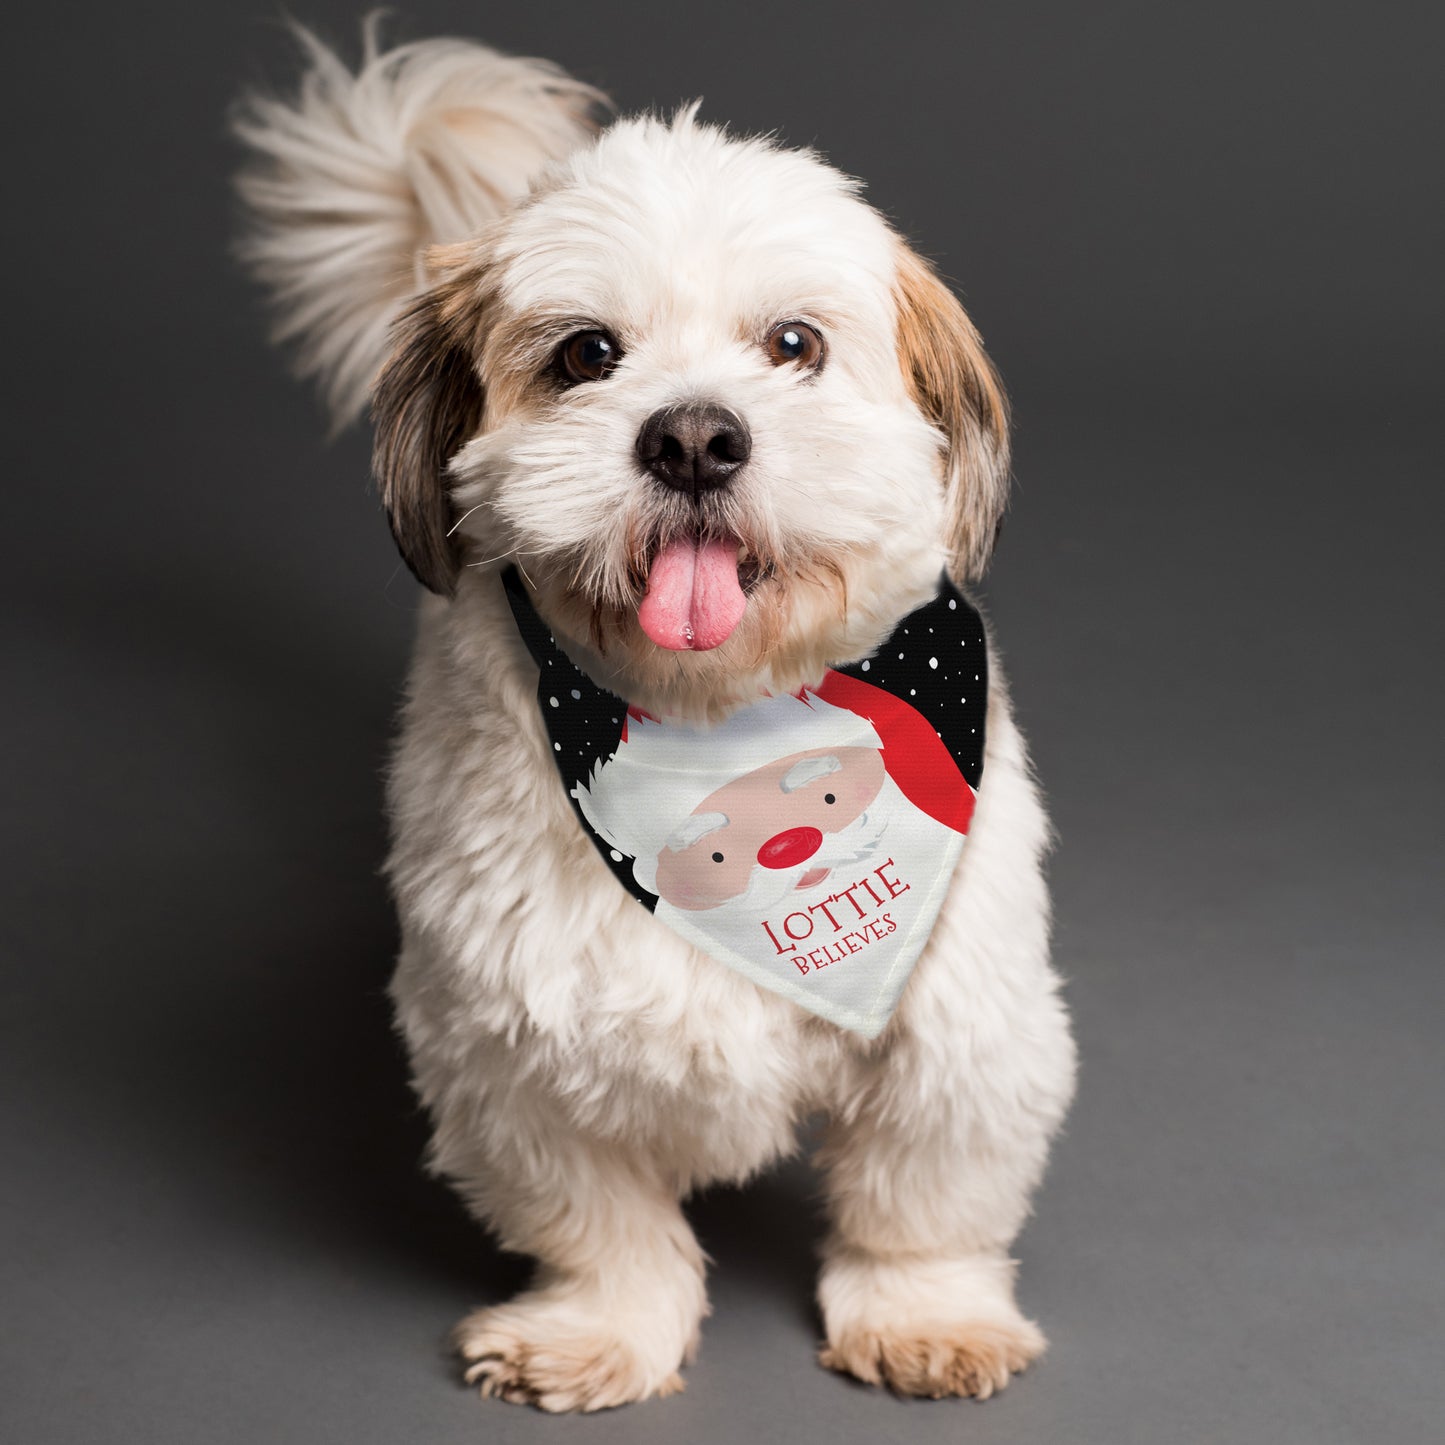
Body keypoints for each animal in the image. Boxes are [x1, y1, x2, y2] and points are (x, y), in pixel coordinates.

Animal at [234, 25, 1075, 1410]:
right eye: (586, 354)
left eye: (792, 343)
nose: (691, 435)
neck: (714, 720)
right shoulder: (506, 1046)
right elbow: (600, 1220)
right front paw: (598, 1327)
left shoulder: (957, 1020)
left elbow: (920, 1196)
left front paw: (925, 1311)